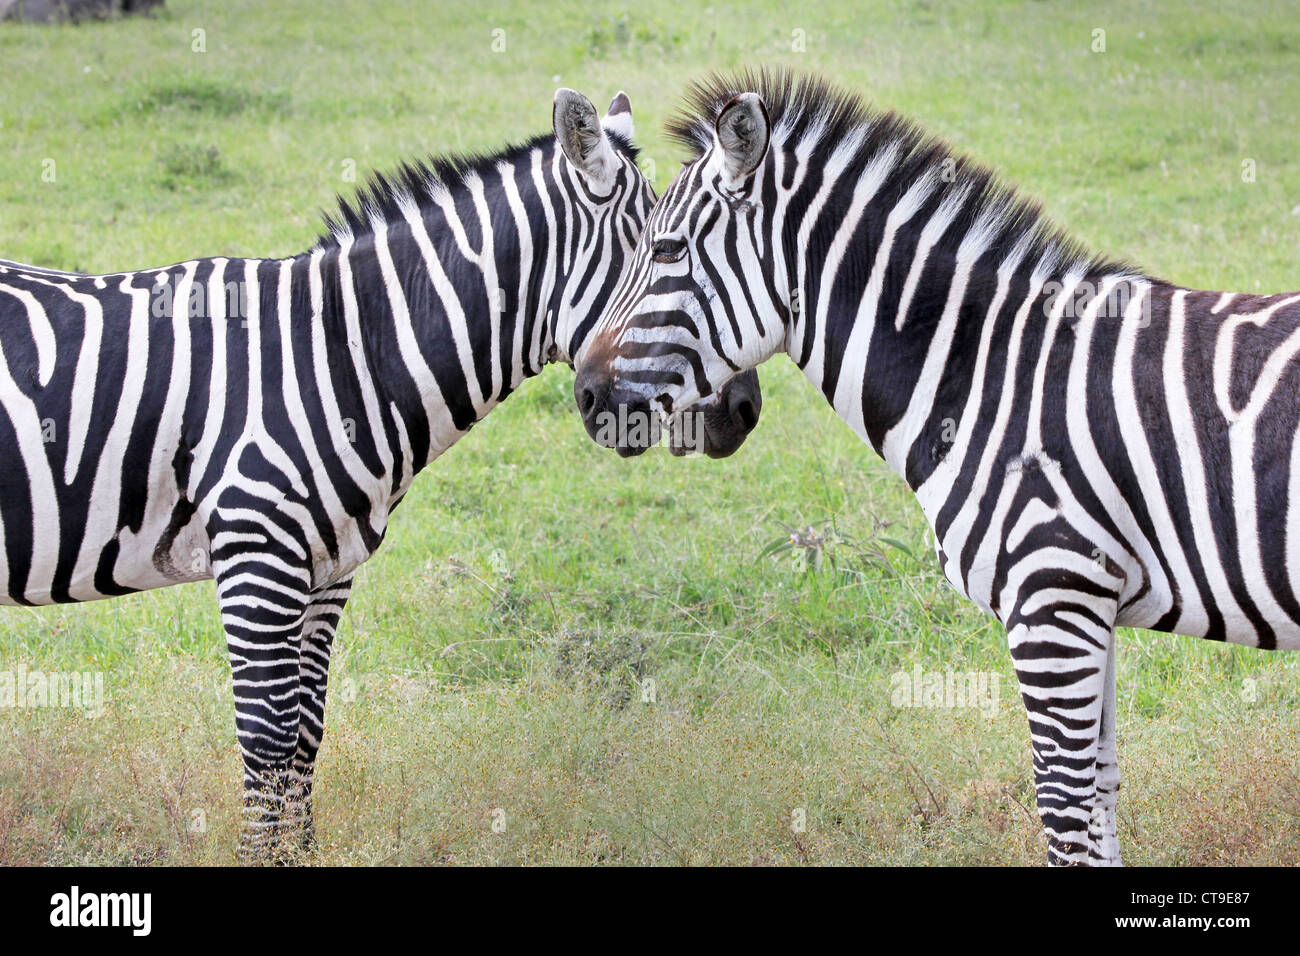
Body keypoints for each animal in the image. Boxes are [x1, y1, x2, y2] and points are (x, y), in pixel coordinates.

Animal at [2, 91, 759, 858]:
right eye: (665, 255)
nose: (744, 409)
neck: (342, 353)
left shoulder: (327, 568)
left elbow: (305, 731)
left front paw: (298, 858)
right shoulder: (255, 556)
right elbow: (265, 737)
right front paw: (257, 857)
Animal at [574, 69, 1300, 868]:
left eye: (667, 250)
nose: (585, 394)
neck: (987, 374)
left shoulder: (1052, 598)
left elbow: (1064, 810)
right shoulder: (1092, 604)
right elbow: (1102, 795)